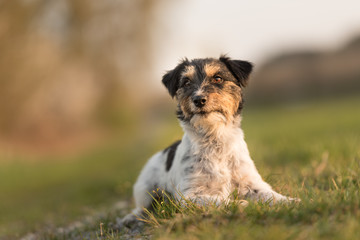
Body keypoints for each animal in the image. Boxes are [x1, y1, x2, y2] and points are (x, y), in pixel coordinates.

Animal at [124, 55, 298, 226]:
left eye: (218, 78)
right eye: (186, 82)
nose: (199, 99)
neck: (214, 139)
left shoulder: (253, 184)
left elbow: (271, 195)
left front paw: (290, 201)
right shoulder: (189, 196)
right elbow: (217, 200)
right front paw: (241, 204)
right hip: (145, 190)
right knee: (142, 208)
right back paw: (130, 218)